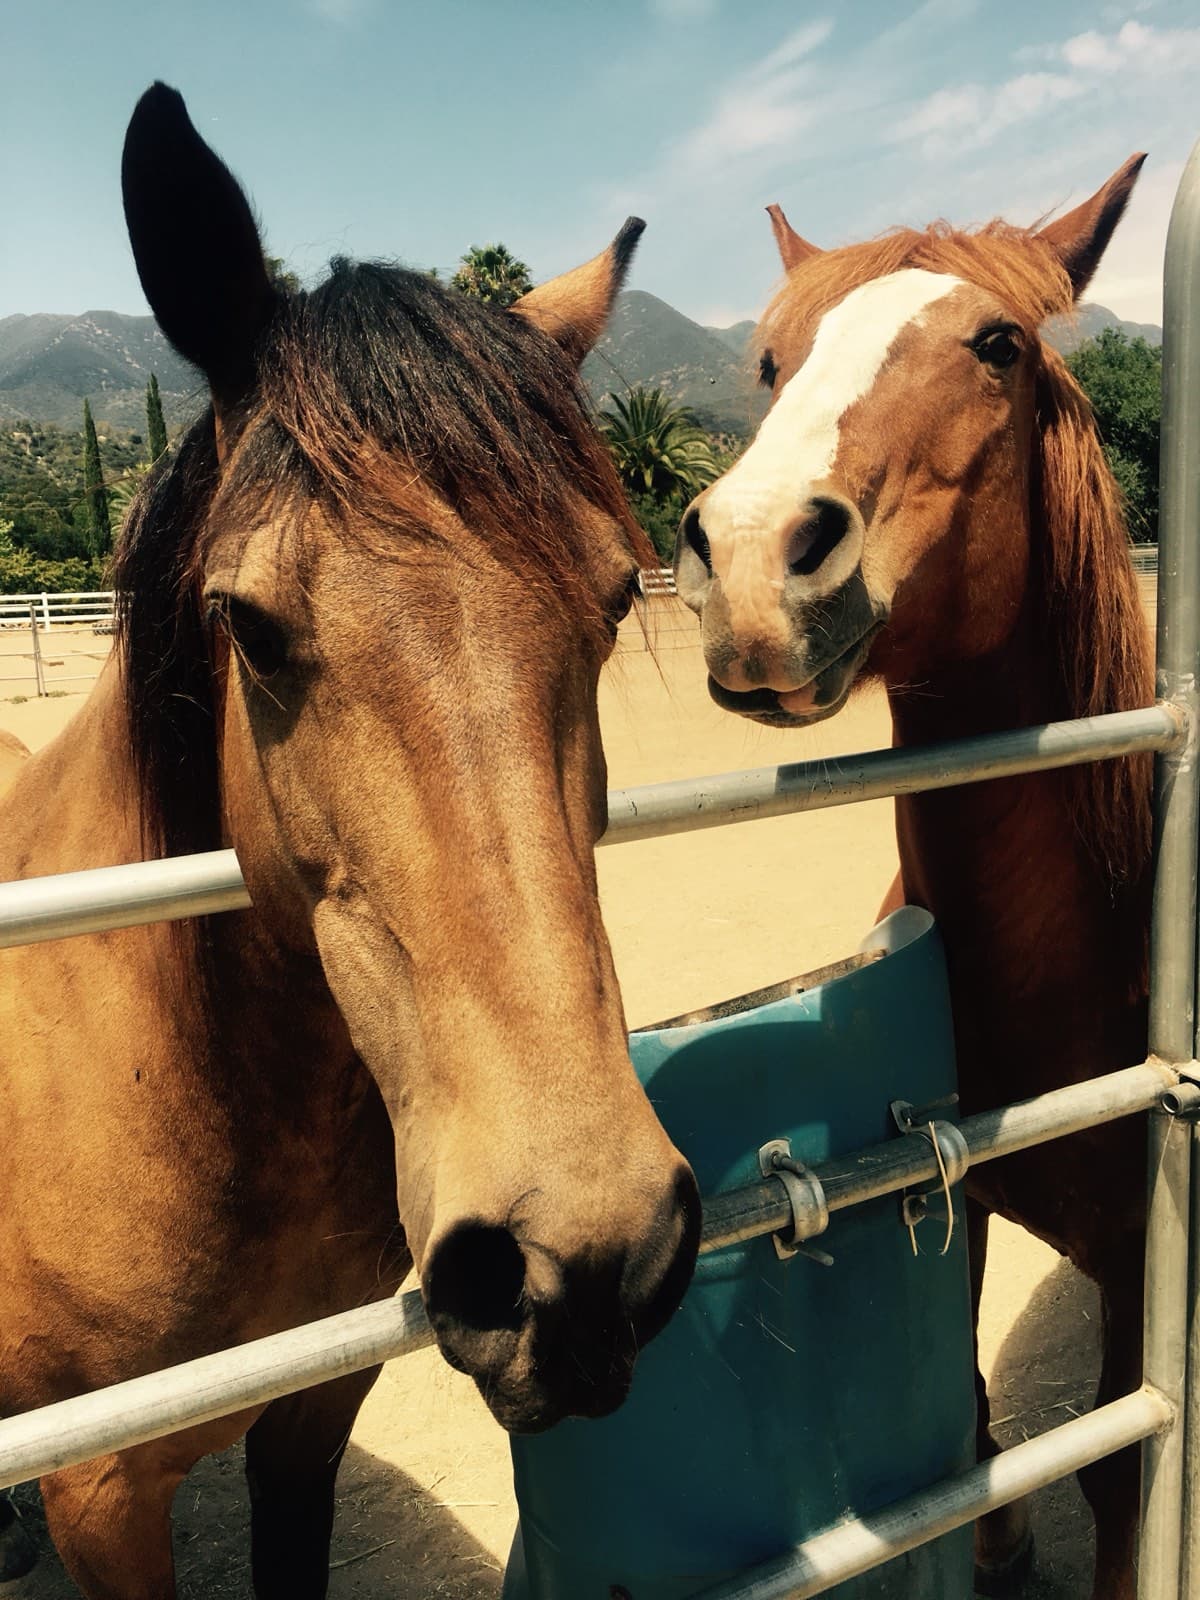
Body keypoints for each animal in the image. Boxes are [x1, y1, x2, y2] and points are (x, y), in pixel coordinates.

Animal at [673, 158, 1152, 1599]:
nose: (751, 559)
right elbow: (973, 1439)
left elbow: (1120, 1470)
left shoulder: (1149, 1260)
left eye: (999, 346)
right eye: (769, 362)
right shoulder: (957, 1200)